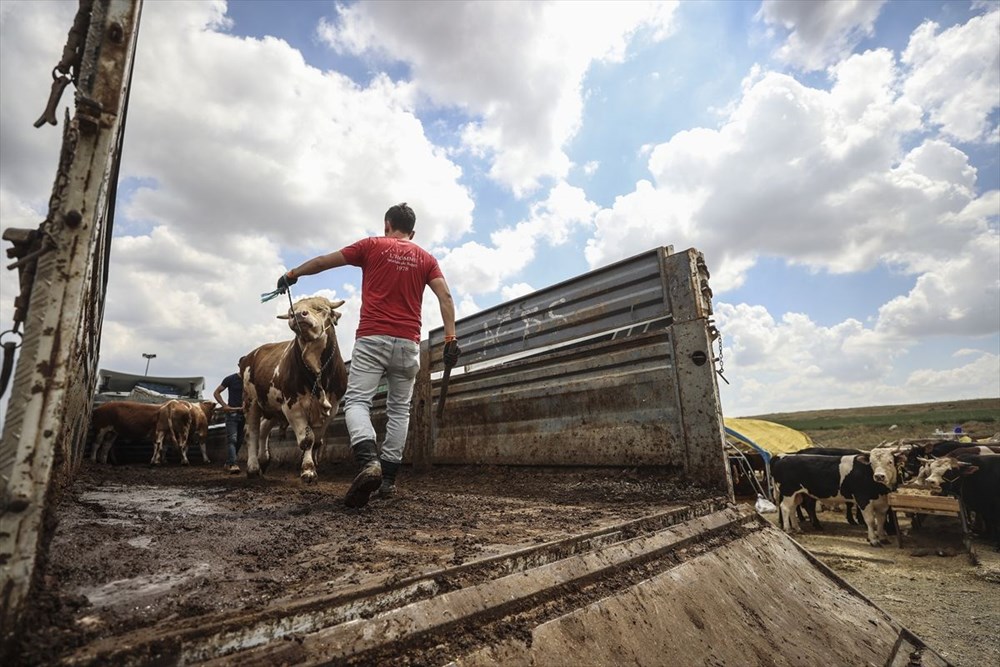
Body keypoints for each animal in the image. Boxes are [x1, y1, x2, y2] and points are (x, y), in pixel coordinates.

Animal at [240, 296, 350, 480]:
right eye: (293, 310)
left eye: (320, 308)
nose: (297, 314)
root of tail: (249, 355)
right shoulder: (292, 406)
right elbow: (307, 439)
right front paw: (308, 470)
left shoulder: (333, 407)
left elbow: (317, 440)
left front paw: (311, 467)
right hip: (251, 401)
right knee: (251, 433)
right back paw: (253, 467)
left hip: (272, 407)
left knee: (263, 430)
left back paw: (264, 461)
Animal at [768, 454, 896, 548]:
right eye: (872, 463)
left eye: (891, 462)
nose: (880, 476)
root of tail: (783, 457)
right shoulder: (863, 499)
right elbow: (870, 521)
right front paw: (873, 540)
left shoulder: (882, 504)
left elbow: (881, 520)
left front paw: (883, 538)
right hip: (788, 492)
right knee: (785, 507)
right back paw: (788, 529)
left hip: (797, 494)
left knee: (792, 508)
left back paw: (797, 528)